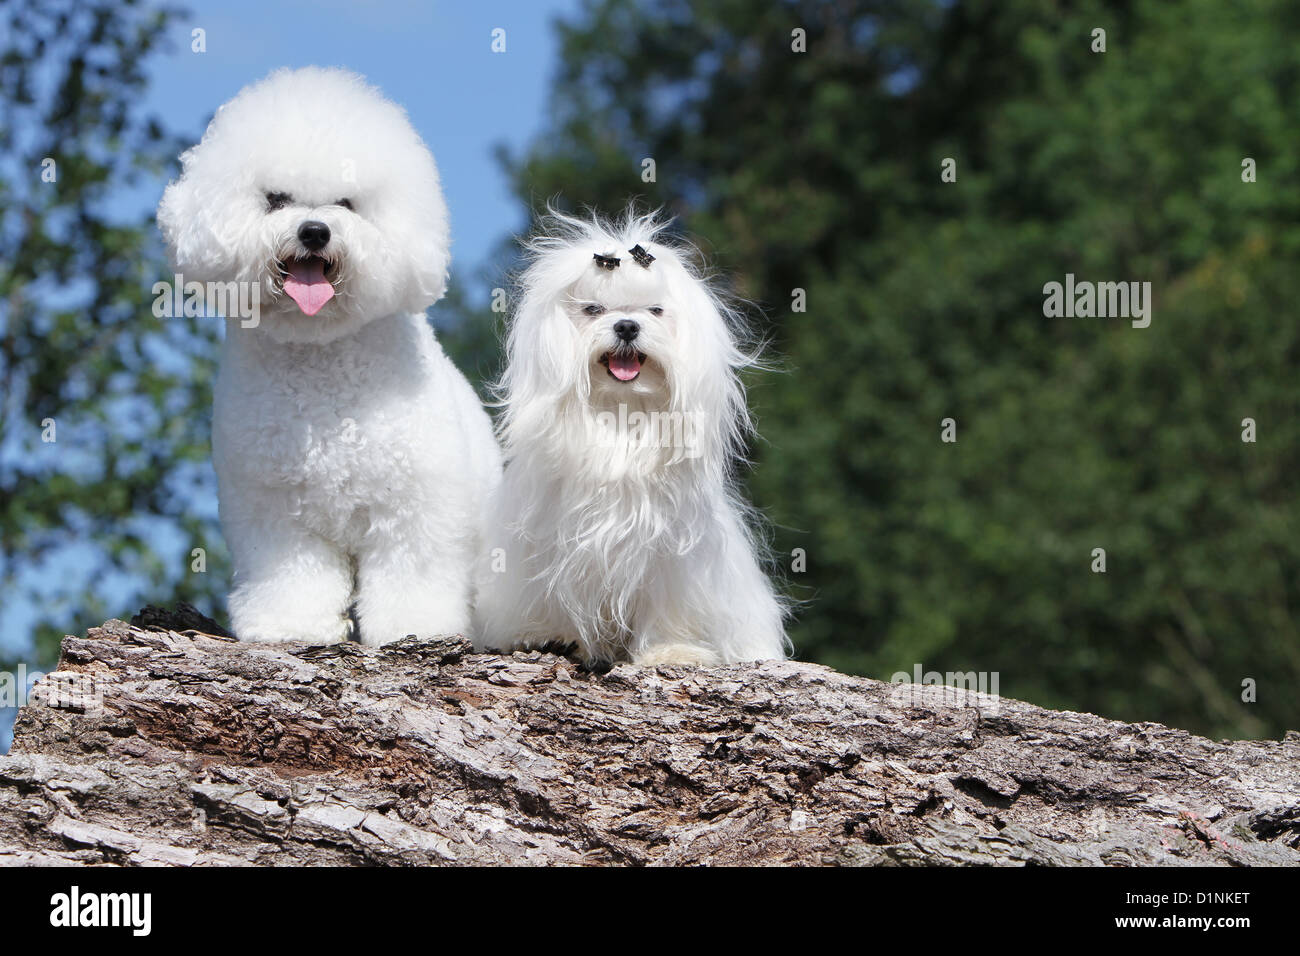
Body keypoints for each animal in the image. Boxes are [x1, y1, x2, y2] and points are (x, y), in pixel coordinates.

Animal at [153, 67, 496, 647]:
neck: (321, 355)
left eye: (348, 204)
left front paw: (413, 628)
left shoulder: (412, 505)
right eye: (276, 199)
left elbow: (413, 573)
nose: (314, 231)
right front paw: (290, 625)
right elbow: (292, 576)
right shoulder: (276, 513)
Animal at [475, 209, 785, 665]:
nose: (626, 325)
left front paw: (671, 650)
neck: (621, 411)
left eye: (655, 310)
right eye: (592, 309)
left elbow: (668, 602)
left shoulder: (671, 553)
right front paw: (546, 635)